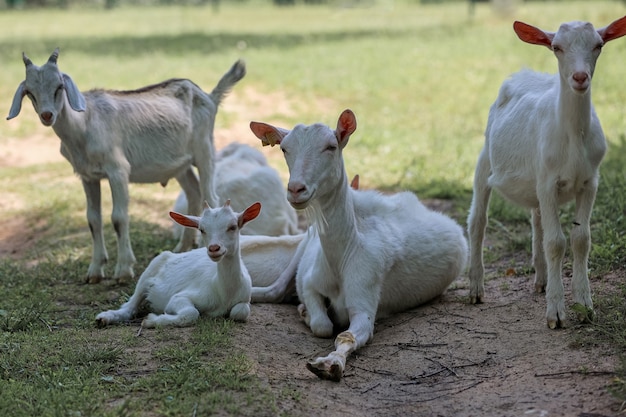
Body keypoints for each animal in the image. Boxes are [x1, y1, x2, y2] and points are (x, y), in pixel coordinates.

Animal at [7, 48, 246, 282]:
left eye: (59, 86)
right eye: (29, 92)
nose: (47, 115)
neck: (85, 125)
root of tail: (209, 96)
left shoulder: (118, 170)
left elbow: (118, 218)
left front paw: (123, 270)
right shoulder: (88, 176)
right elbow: (93, 219)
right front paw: (94, 271)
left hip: (204, 150)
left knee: (210, 195)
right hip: (180, 164)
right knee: (194, 193)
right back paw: (184, 247)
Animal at [249, 108, 468, 380]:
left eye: (331, 146)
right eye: (284, 148)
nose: (296, 189)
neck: (342, 255)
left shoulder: (366, 293)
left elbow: (346, 334)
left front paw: (330, 364)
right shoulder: (310, 280)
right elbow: (322, 324)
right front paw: (307, 313)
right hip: (305, 241)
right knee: (275, 289)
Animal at [464, 15, 624, 328]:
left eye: (598, 45)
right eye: (556, 47)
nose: (579, 77)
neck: (573, 137)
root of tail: (523, 73)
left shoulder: (590, 181)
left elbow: (581, 239)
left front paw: (584, 305)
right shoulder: (548, 183)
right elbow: (555, 243)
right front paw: (556, 314)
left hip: (535, 180)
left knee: (536, 218)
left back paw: (541, 279)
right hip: (485, 157)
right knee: (478, 220)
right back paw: (476, 288)